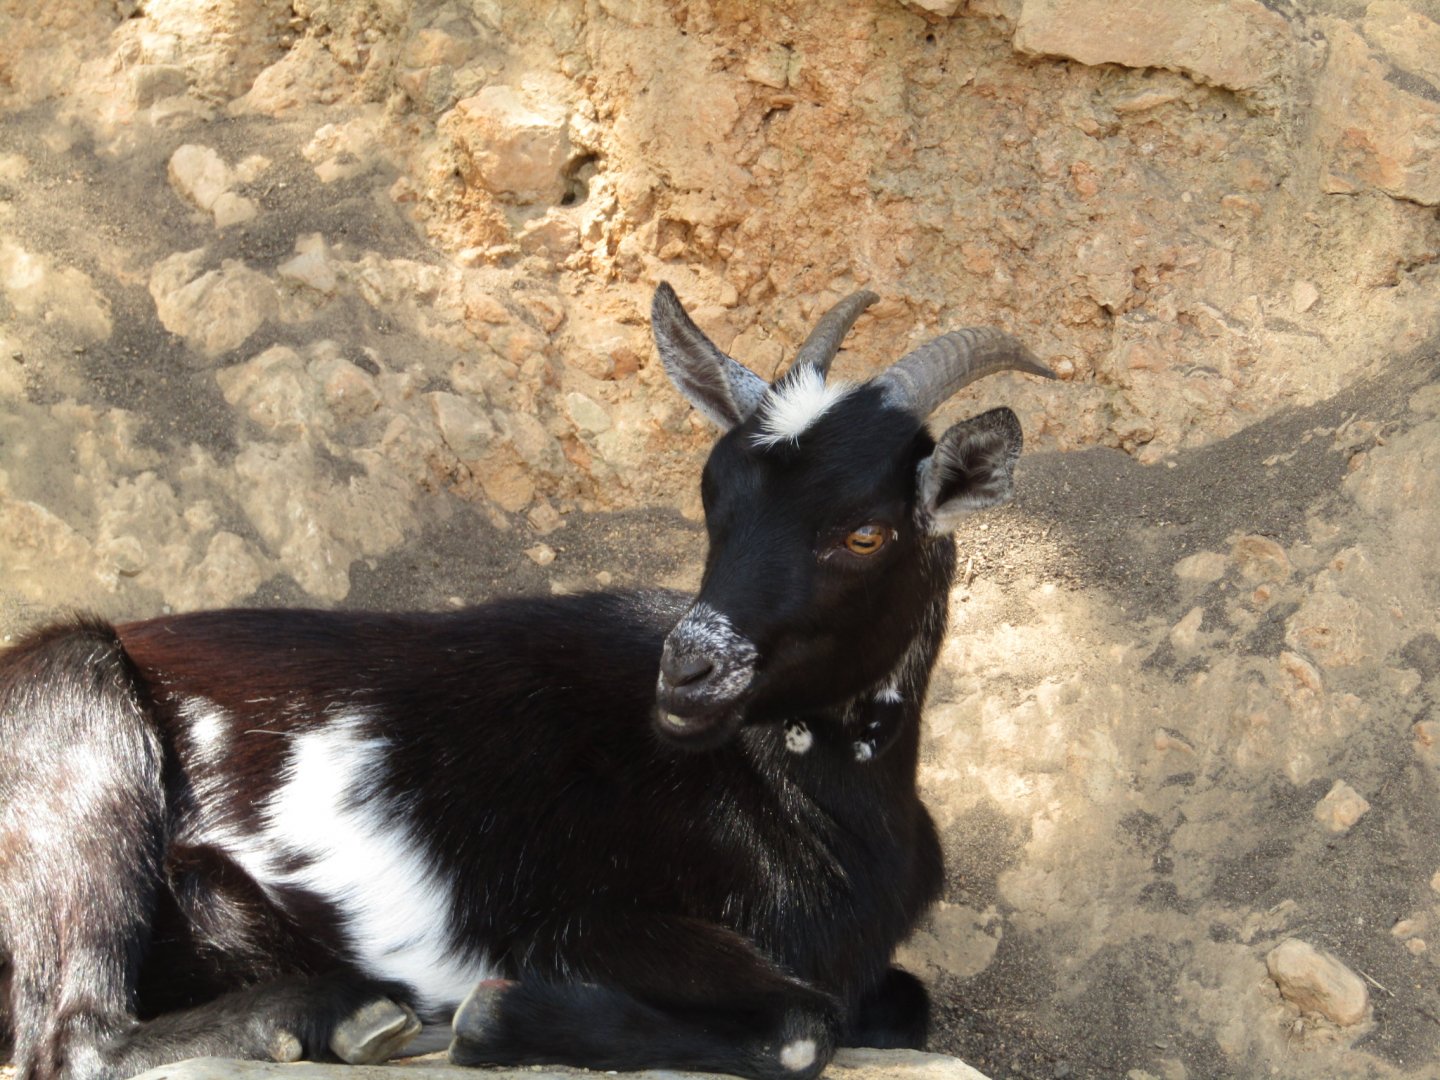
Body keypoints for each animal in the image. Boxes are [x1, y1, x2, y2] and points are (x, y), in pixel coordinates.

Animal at [0, 283, 1052, 1080]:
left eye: (866, 532)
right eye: (714, 492)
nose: (688, 671)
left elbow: (903, 1003)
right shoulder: (578, 923)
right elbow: (801, 1028)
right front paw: (501, 1021)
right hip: (75, 727)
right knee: (78, 1039)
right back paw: (338, 1014)